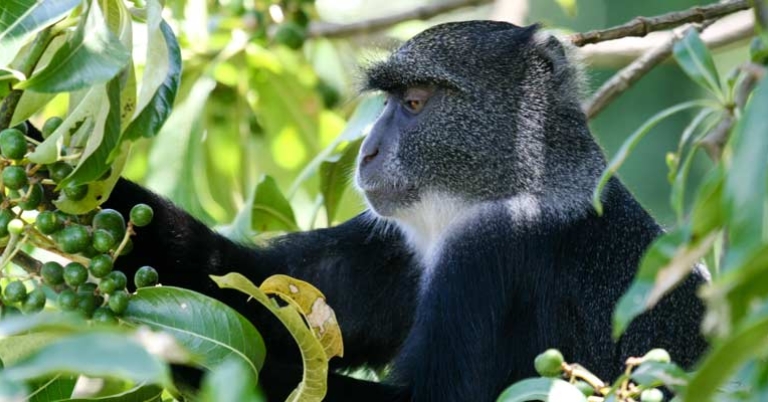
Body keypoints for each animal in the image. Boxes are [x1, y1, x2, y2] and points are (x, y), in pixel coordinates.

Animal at [35, 20, 710, 402]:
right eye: (388, 101)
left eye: (414, 102)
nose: (368, 149)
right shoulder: (393, 240)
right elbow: (260, 289)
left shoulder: (493, 251)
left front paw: (161, 345)